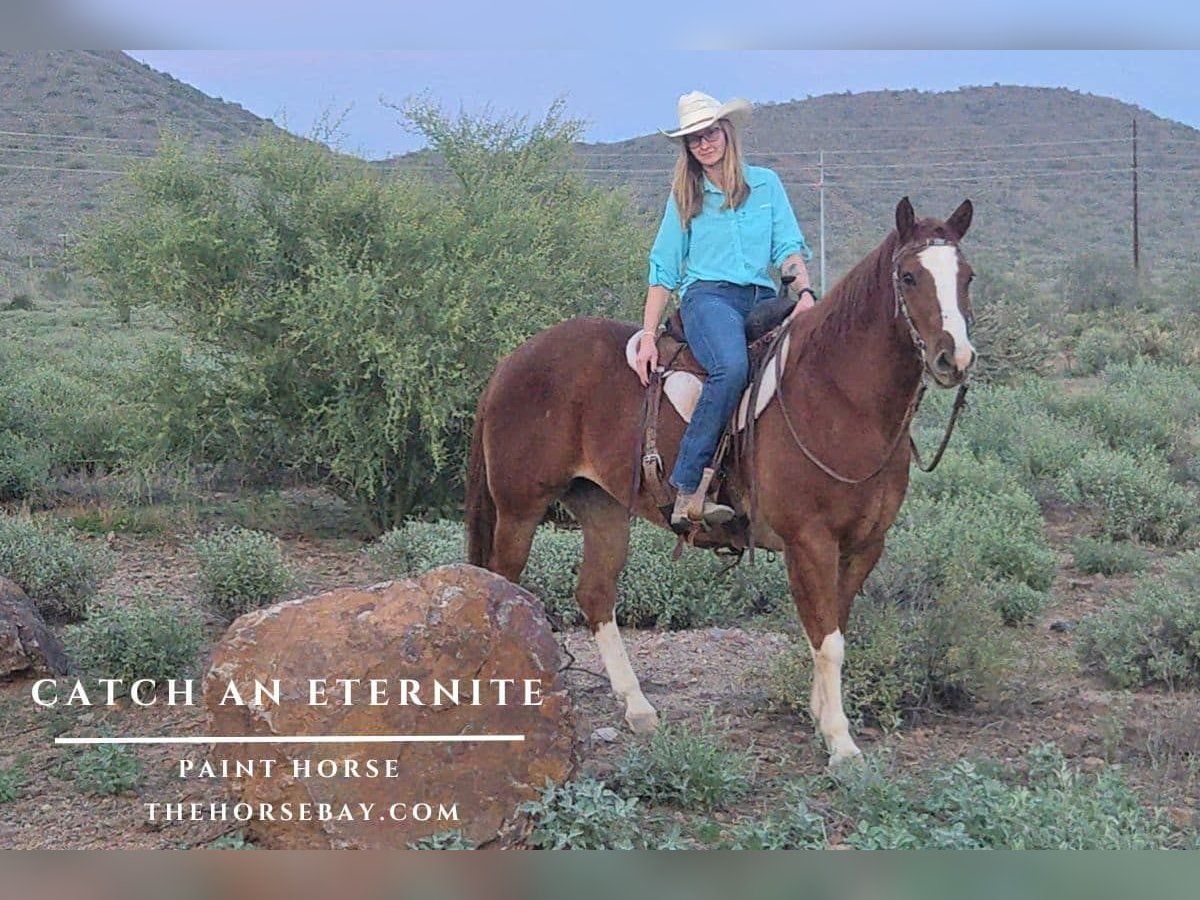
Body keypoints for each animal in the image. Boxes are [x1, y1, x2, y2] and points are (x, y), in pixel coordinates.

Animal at [466, 197, 976, 765]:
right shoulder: (810, 542)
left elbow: (833, 628)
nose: (954, 358)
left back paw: (638, 708)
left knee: (595, 594)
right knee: (501, 586)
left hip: (601, 506)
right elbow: (827, 638)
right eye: (909, 276)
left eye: (967, 277)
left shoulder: (865, 545)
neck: (838, 395)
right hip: (520, 509)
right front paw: (842, 745)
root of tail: (513, 361)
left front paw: (822, 718)